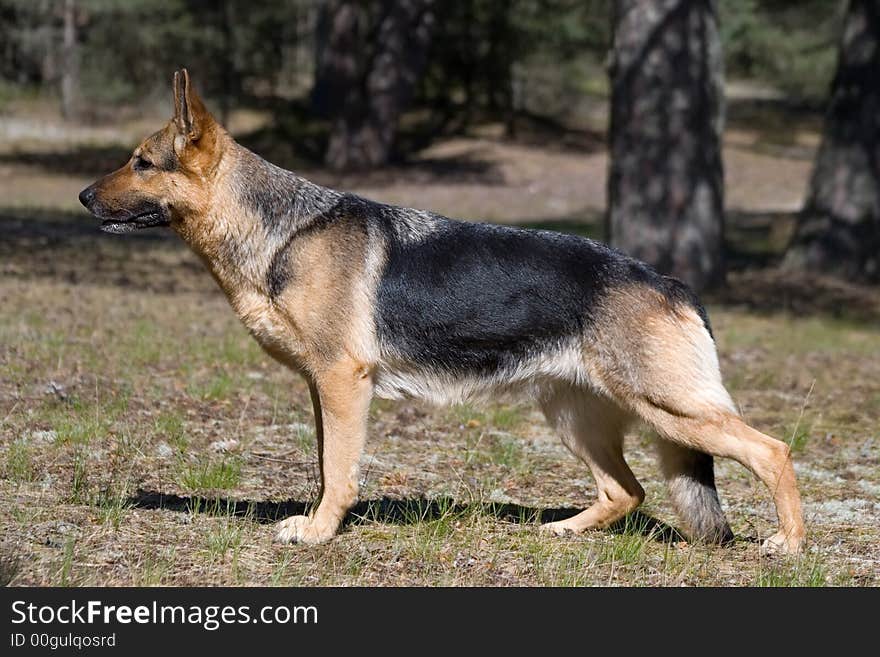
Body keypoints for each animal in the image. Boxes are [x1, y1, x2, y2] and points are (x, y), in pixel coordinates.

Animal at [79, 70, 808, 552]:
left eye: (141, 163)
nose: (83, 196)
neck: (280, 230)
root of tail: (672, 282)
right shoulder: (323, 389)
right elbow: (327, 462)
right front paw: (320, 522)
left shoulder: (343, 383)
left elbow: (339, 471)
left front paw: (319, 533)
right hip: (575, 415)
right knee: (625, 491)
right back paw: (561, 530)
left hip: (670, 409)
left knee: (771, 450)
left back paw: (790, 544)